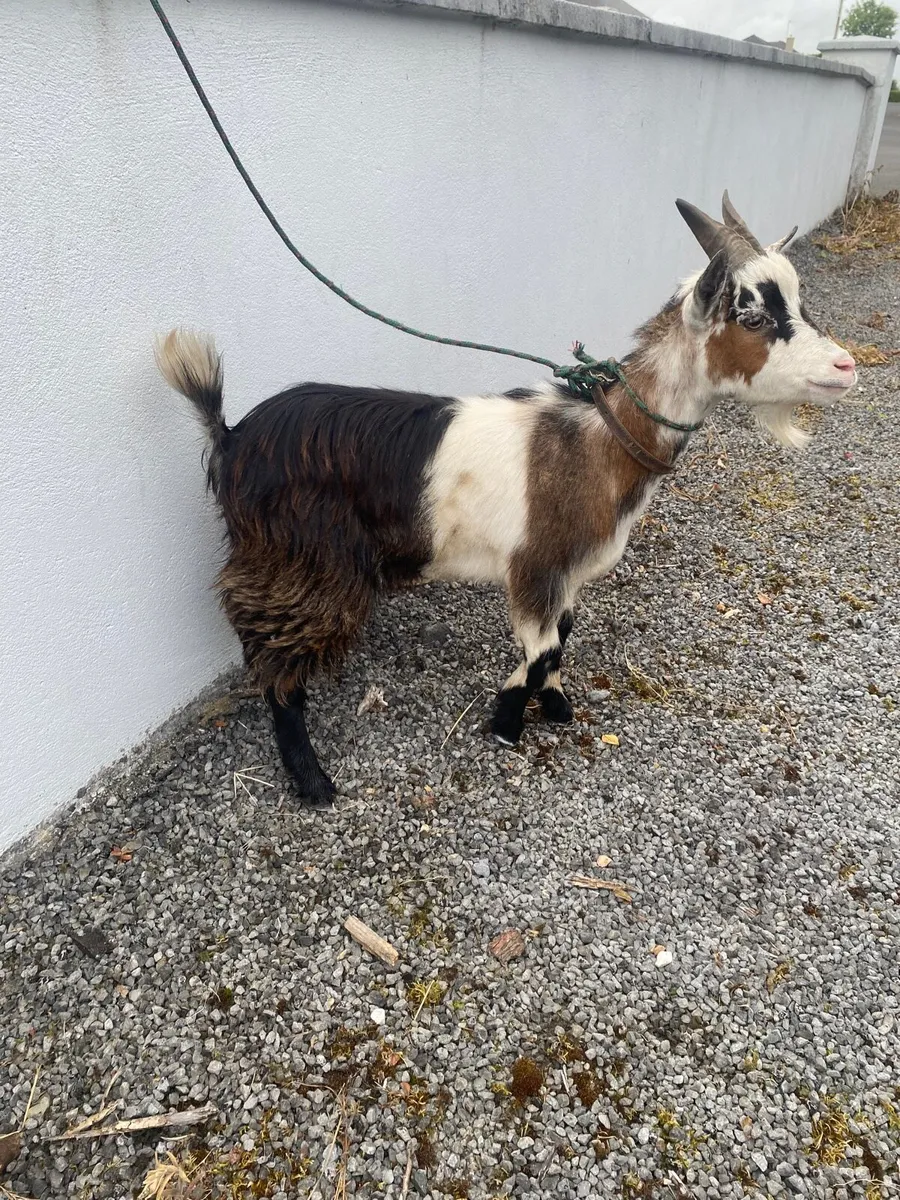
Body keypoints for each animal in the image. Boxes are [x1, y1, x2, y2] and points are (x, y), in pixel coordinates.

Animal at [156, 193, 857, 807]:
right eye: (753, 316)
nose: (847, 367)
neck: (600, 442)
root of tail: (231, 437)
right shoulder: (534, 565)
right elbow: (542, 648)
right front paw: (507, 720)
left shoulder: (564, 571)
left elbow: (562, 638)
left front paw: (554, 704)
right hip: (303, 561)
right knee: (275, 659)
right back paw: (311, 780)